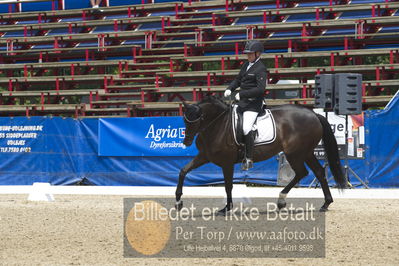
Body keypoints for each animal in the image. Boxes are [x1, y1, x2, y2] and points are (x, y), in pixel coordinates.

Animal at [175, 95, 346, 212]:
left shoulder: (226, 162)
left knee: (302, 173)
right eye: (184, 120)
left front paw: (227, 208)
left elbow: (228, 186)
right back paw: (325, 203)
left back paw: (281, 200)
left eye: (197, 120)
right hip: (306, 153)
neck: (218, 124)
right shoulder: (204, 157)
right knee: (318, 172)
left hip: (295, 153)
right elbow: (183, 171)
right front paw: (178, 202)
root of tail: (314, 114)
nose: (186, 142)